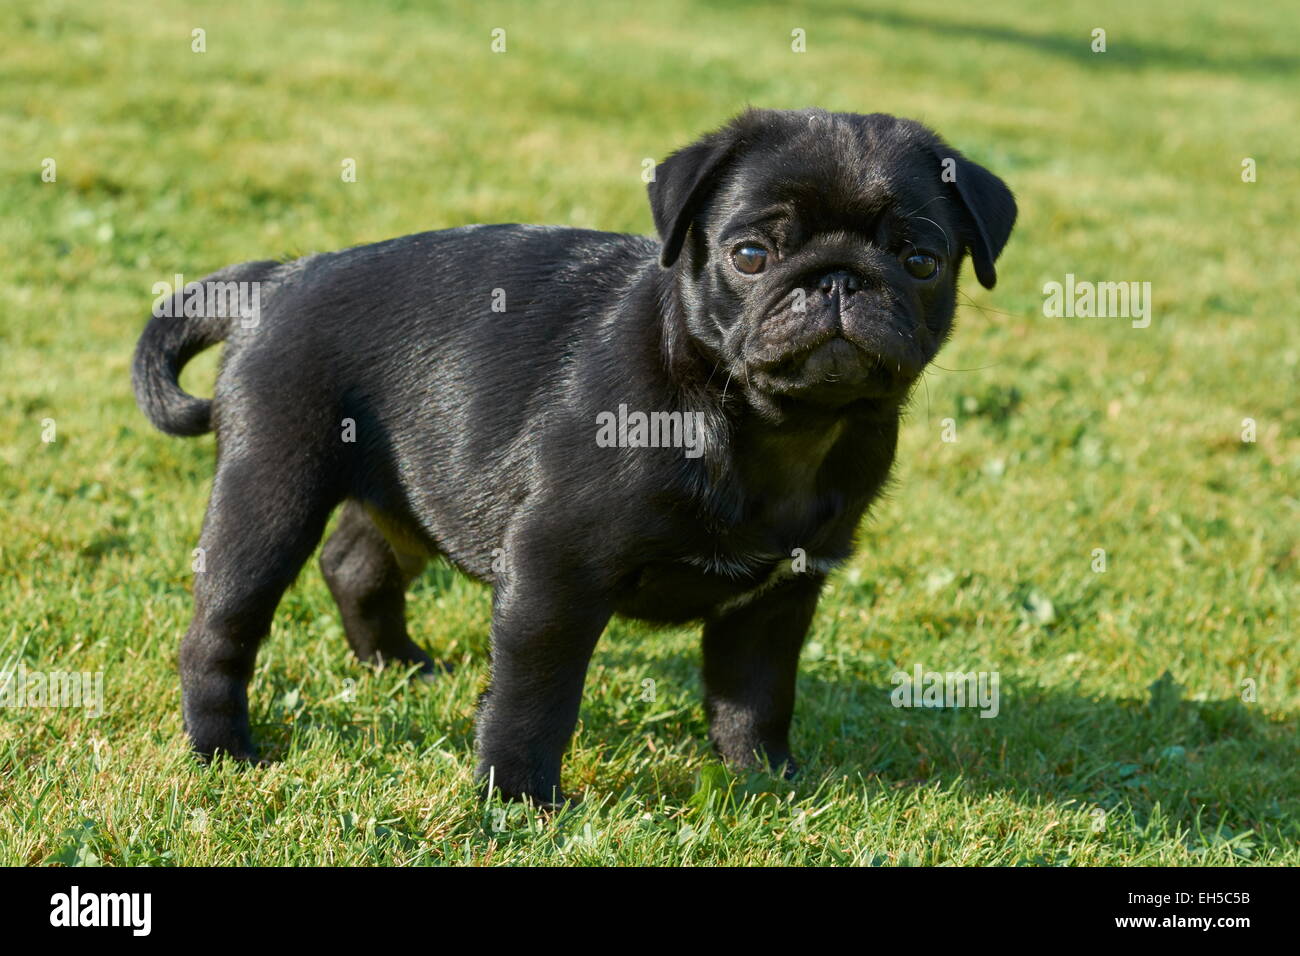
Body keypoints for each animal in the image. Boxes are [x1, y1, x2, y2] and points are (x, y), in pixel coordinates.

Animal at [137, 108, 1019, 806]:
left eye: (920, 261)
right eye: (751, 255)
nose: (836, 281)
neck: (771, 425)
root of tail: (276, 280)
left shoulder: (777, 599)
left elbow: (756, 695)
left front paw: (765, 779)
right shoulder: (555, 570)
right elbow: (536, 696)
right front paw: (519, 798)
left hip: (409, 488)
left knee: (357, 563)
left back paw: (401, 667)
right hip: (271, 489)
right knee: (223, 626)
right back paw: (224, 750)